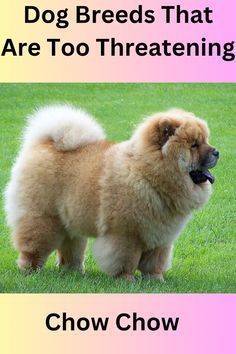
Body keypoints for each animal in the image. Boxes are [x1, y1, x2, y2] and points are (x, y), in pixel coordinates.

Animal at [5, 104, 219, 280]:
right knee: (34, 245)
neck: (146, 173)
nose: (216, 151)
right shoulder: (125, 234)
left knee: (71, 248)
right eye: (194, 145)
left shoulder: (161, 235)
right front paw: (126, 279)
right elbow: (126, 259)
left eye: (206, 140)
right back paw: (31, 270)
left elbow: (155, 261)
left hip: (71, 219)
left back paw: (73, 271)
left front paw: (156, 280)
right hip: (42, 218)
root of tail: (44, 143)